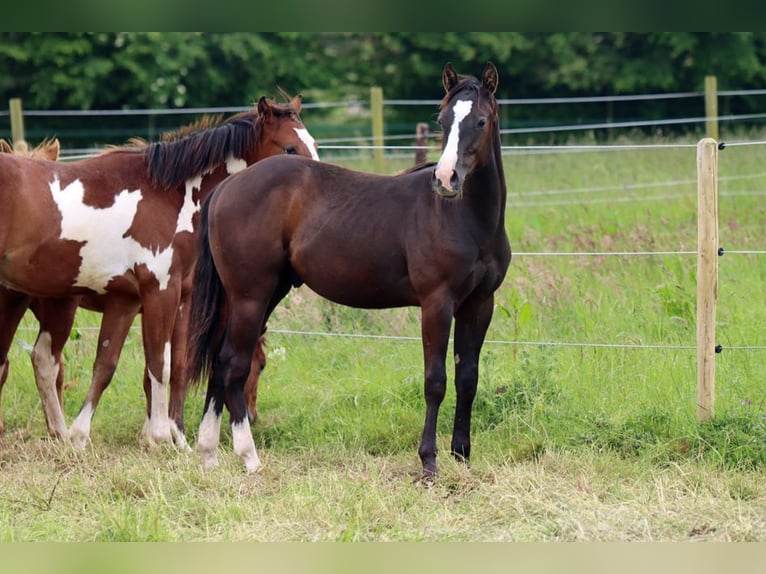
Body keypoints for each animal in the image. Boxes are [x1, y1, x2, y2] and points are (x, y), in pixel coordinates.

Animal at [0, 95, 318, 446]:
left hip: (23, 297)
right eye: (290, 148)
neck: (169, 195)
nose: (252, 417)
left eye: (314, 144)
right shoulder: (161, 291)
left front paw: (86, 435)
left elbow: (116, 364)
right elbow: (161, 365)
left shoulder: (137, 299)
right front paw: (162, 436)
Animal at [185, 62, 510, 476]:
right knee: (234, 363)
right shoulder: (437, 305)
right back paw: (249, 457)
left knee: (219, 360)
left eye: (481, 121)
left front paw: (462, 455)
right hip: (250, 297)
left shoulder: (479, 305)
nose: (445, 180)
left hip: (259, 294)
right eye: (442, 120)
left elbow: (468, 377)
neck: (464, 219)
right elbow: (435, 381)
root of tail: (226, 188)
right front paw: (429, 462)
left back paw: (209, 454)